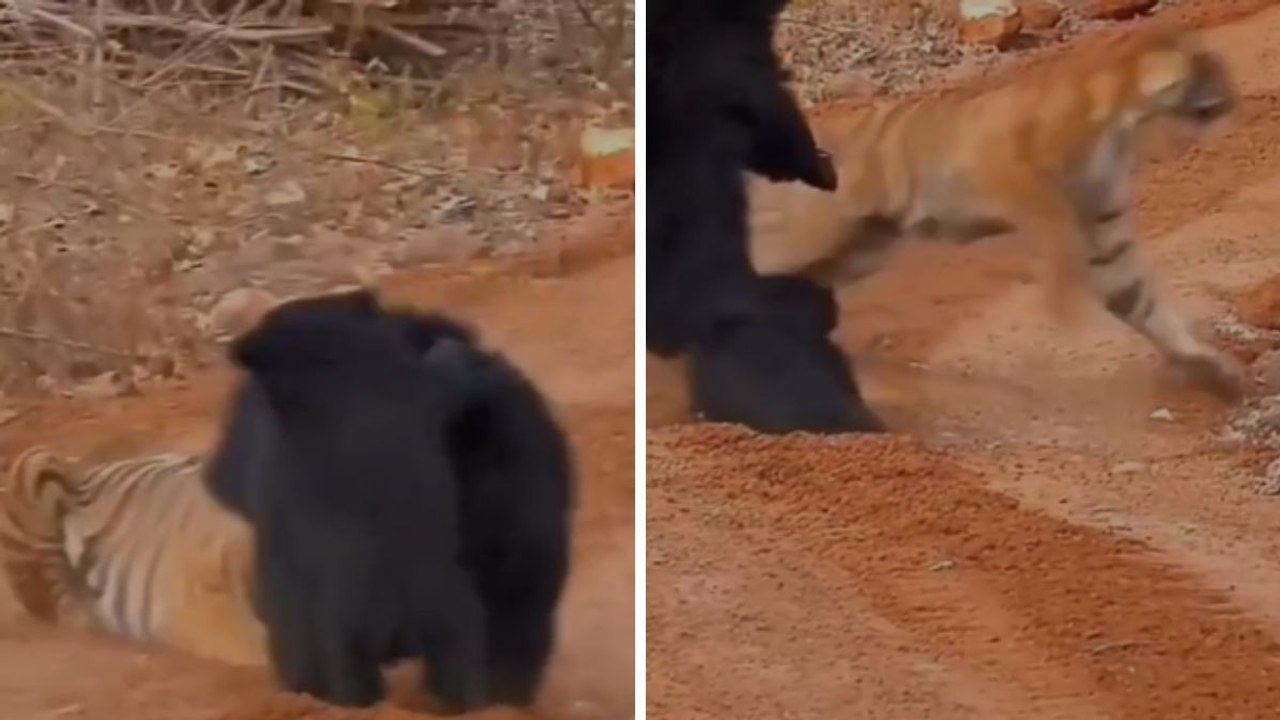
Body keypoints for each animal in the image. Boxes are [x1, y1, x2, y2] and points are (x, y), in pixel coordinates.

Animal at [746, 26, 1250, 401]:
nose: (1235, 104)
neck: (1124, 120)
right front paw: (1064, 307)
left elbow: (1142, 301)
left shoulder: (1104, 230)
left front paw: (1207, 365)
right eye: (1216, 80)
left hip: (857, 250)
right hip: (809, 238)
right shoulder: (1006, 166)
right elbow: (1057, 233)